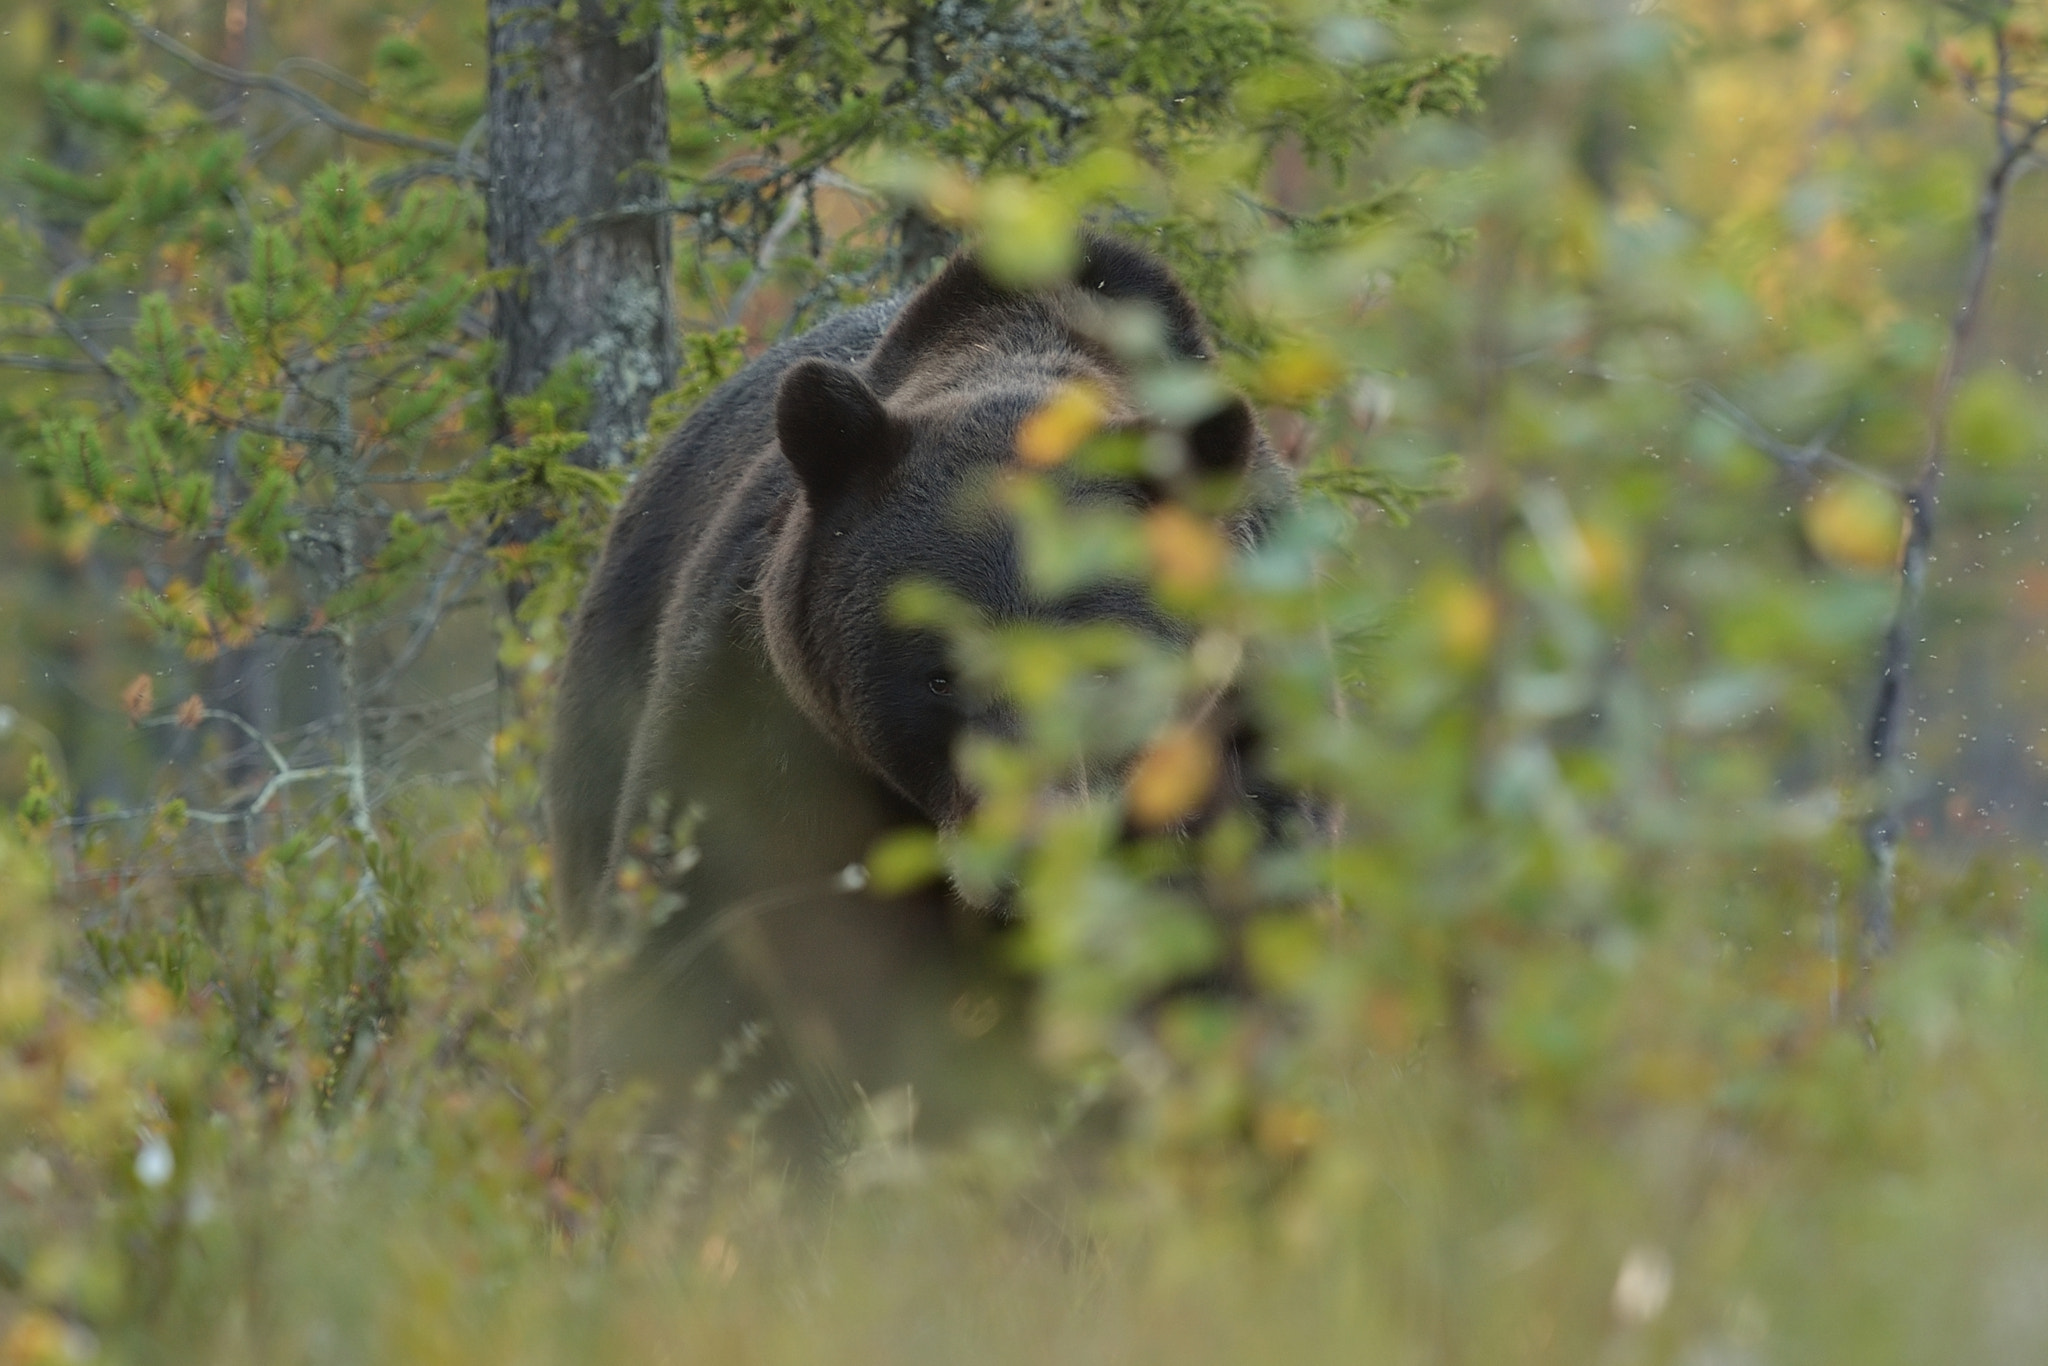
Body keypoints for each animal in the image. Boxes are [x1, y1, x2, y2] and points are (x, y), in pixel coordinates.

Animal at [547, 234, 1291, 1154]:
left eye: (1100, 671)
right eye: (941, 674)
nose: (1026, 855)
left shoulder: (1236, 760)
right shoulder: (767, 728)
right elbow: (709, 960)